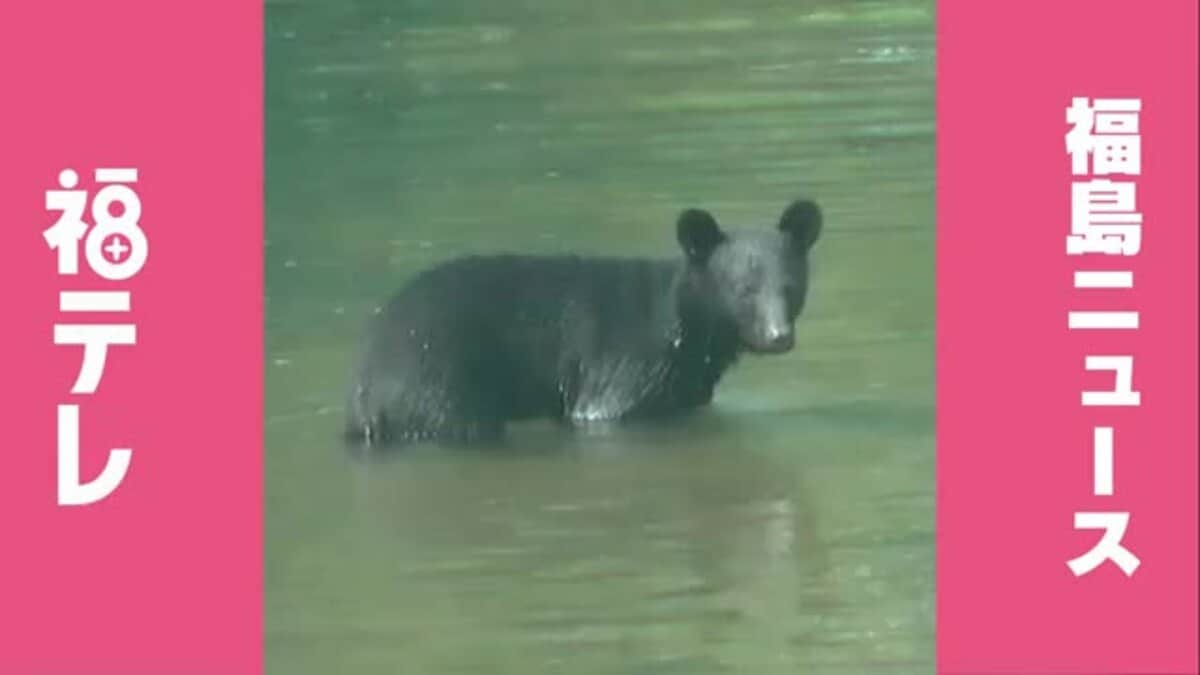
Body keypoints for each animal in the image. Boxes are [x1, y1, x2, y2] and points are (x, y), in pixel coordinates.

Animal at [344, 198, 823, 446]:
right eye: (744, 288)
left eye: (790, 287)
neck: (689, 328)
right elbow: (607, 408)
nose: (779, 336)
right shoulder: (628, 363)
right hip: (438, 381)